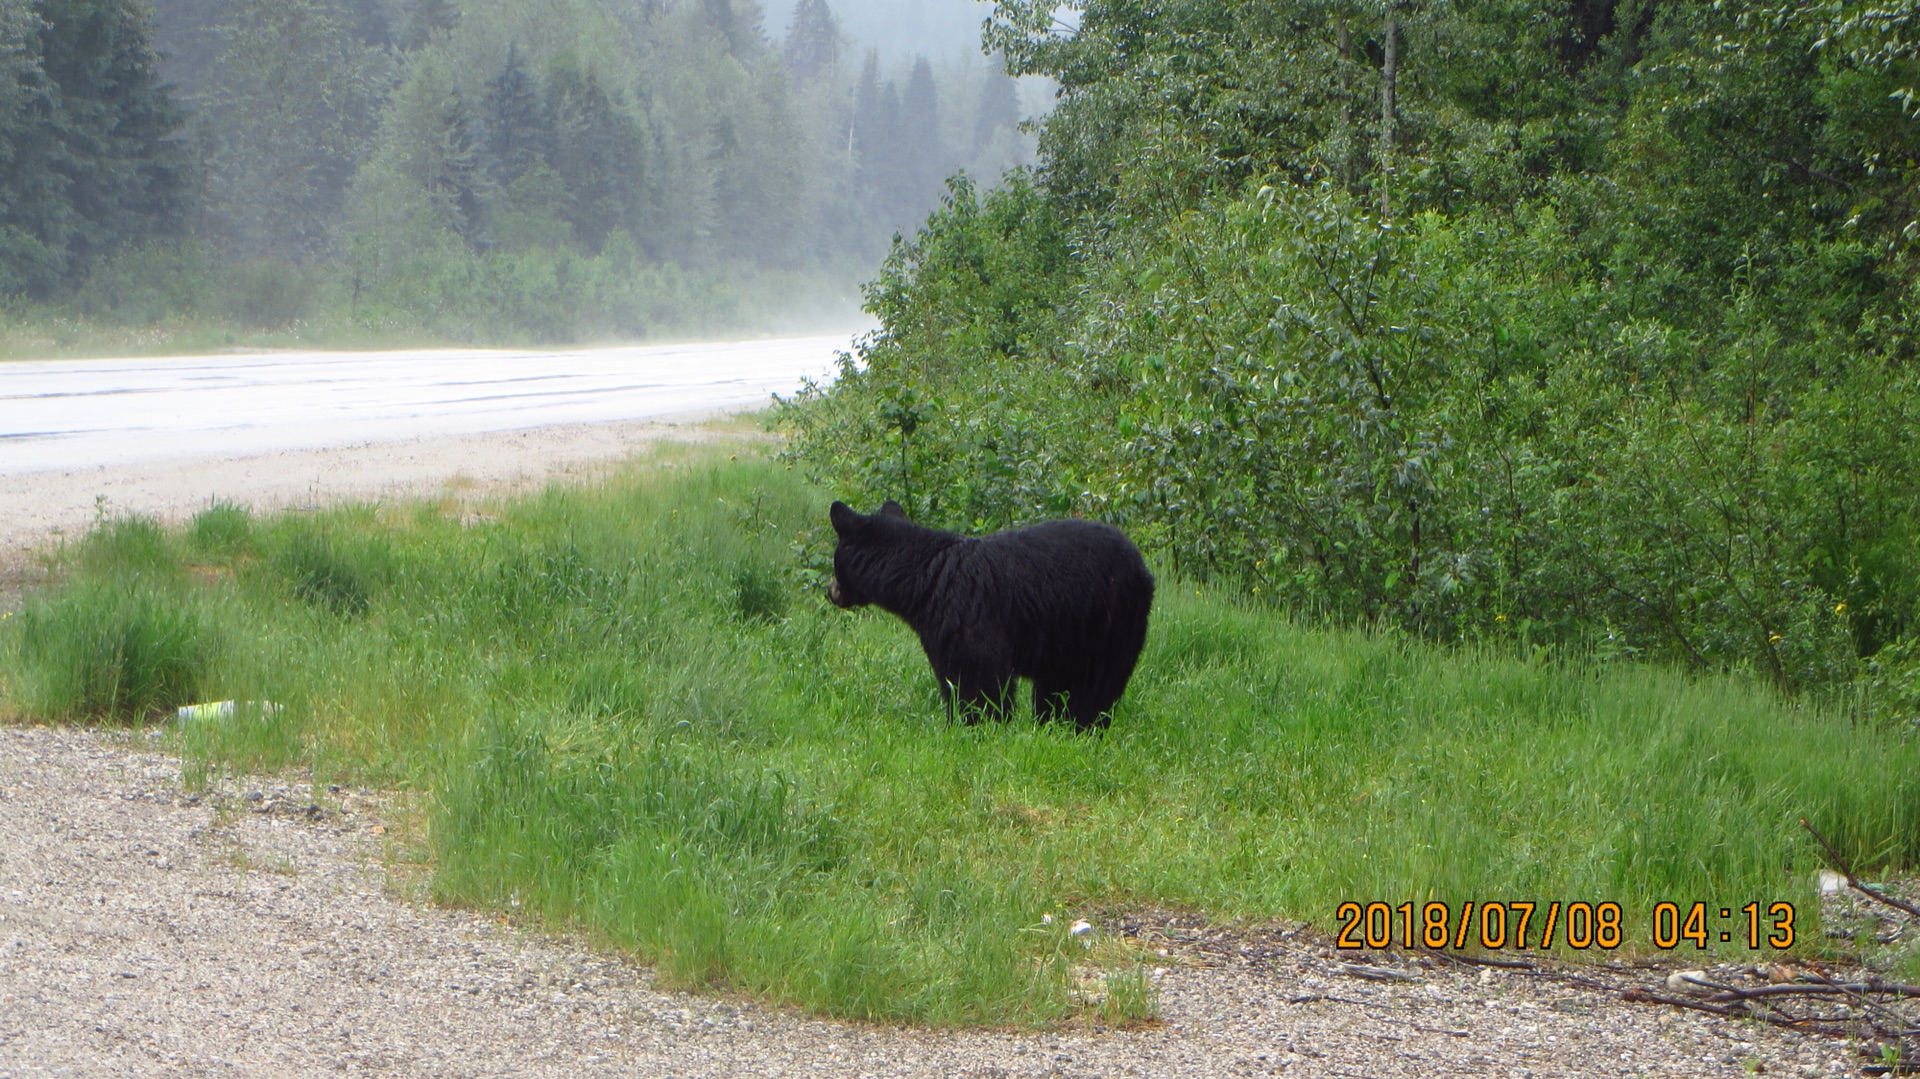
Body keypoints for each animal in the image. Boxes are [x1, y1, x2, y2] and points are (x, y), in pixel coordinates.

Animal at [829, 499, 1152, 725]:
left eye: (834, 563)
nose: (830, 592)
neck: (926, 575)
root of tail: (1143, 566)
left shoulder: (966, 614)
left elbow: (977, 675)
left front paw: (977, 725)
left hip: (1112, 622)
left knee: (1096, 684)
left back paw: (1083, 724)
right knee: (1058, 685)